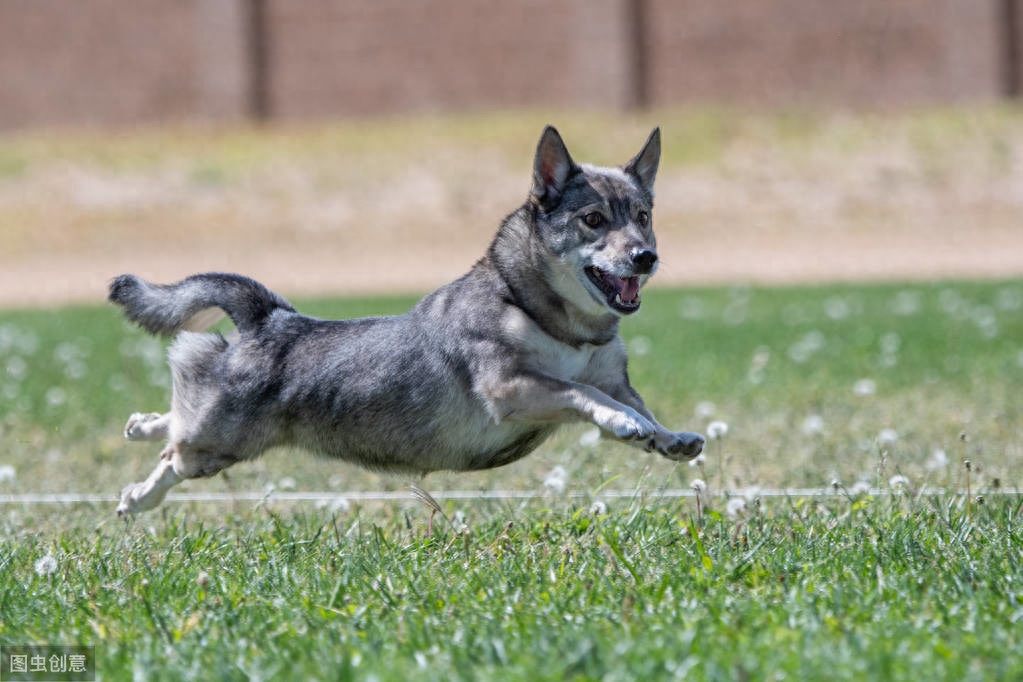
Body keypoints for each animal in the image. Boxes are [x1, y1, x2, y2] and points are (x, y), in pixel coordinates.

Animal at [109, 126, 703, 517]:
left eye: (643, 217)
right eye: (593, 220)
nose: (646, 257)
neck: (551, 318)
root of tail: (271, 318)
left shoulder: (612, 379)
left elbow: (636, 405)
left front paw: (667, 437)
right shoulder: (512, 387)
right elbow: (585, 394)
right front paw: (625, 424)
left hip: (217, 434)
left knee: (175, 419)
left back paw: (140, 424)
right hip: (216, 444)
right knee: (173, 453)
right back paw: (136, 498)